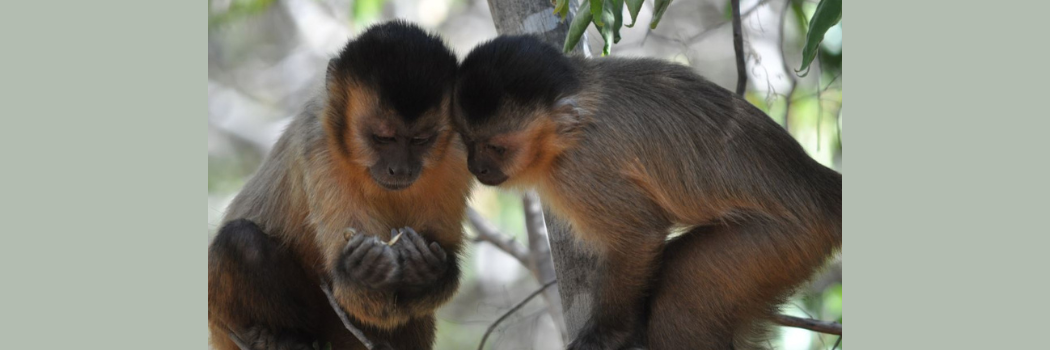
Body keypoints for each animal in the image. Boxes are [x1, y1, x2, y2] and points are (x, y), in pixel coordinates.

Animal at [208, 21, 472, 348]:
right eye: (383, 138)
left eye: (421, 140)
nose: (400, 169)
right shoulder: (319, 145)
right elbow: (357, 296)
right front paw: (363, 272)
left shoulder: (458, 153)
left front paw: (426, 272)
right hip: (224, 323)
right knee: (240, 241)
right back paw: (283, 337)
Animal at [455, 35, 839, 348]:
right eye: (468, 141)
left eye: (498, 148)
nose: (476, 167)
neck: (569, 132)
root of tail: (819, 184)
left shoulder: (582, 169)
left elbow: (639, 234)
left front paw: (607, 335)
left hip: (785, 241)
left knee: (680, 295)